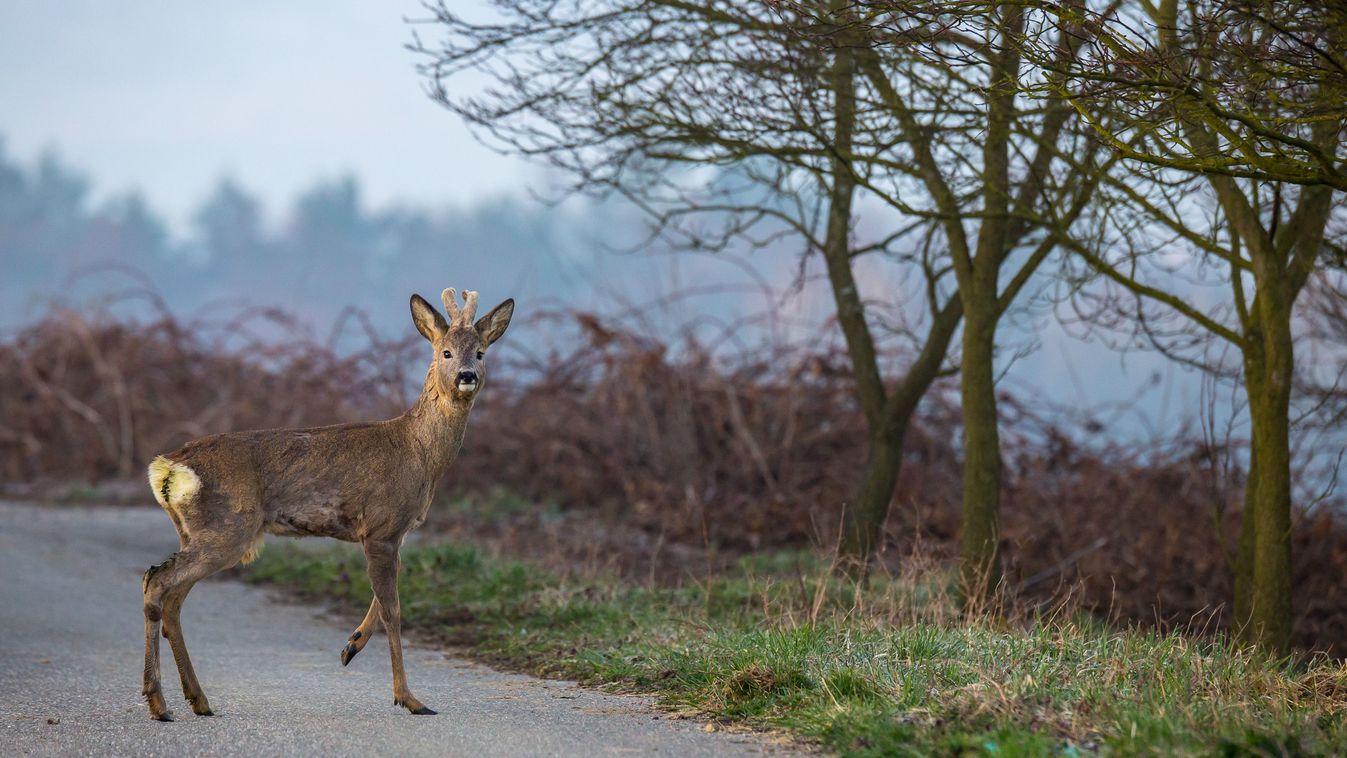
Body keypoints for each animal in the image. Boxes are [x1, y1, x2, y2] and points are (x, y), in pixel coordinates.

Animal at [140, 288, 509, 721]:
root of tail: (167, 467)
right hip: (227, 528)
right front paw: (409, 698)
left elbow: (385, 599)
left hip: (197, 531)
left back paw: (197, 700)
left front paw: (351, 645)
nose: (467, 375)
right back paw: (159, 703)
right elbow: (394, 610)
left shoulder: (392, 533)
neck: (420, 454)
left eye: (481, 352)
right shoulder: (382, 525)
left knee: (172, 597)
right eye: (447, 351)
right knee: (158, 580)